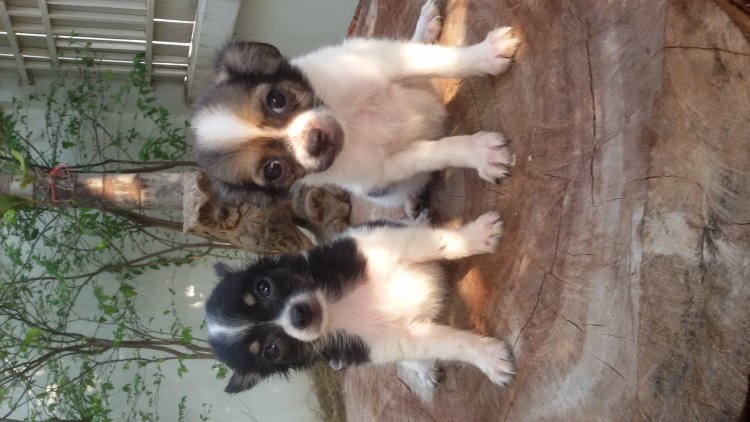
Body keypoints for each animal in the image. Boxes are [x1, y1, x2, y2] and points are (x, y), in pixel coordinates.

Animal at [192, 0, 520, 214]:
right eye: (273, 169)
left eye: (276, 99)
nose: (316, 139)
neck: (349, 120)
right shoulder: (388, 167)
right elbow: (439, 151)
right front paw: (480, 153)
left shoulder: (388, 61)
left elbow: (449, 61)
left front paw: (486, 54)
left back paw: (425, 28)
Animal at [205, 212, 515, 393]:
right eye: (271, 351)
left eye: (264, 287)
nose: (299, 315)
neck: (335, 307)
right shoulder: (392, 340)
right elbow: (450, 344)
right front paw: (488, 358)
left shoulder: (382, 241)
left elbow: (440, 242)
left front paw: (476, 236)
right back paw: (422, 368)